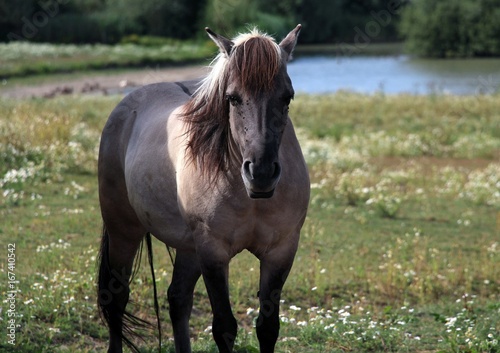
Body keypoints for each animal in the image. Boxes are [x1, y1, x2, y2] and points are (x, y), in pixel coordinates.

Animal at [96, 24, 308, 352]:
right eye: (232, 98)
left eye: (287, 97)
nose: (260, 173)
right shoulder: (213, 252)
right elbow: (224, 327)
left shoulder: (281, 252)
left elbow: (268, 327)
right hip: (123, 231)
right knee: (117, 298)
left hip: (188, 247)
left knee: (178, 299)